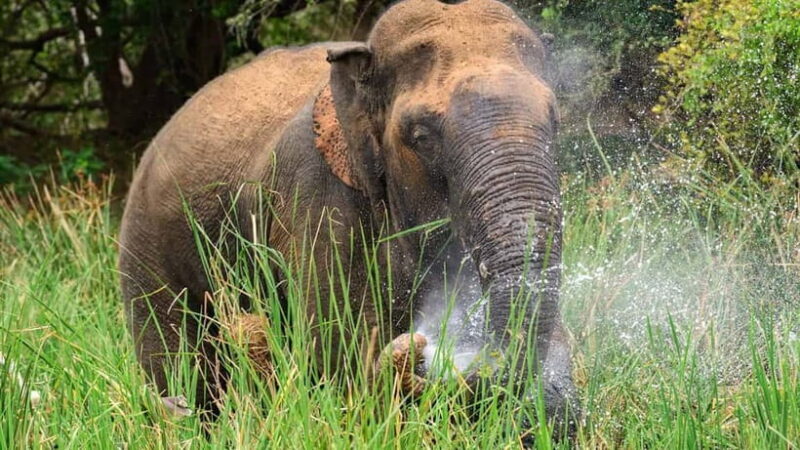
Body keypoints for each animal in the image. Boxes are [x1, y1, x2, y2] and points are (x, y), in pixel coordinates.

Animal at [119, 0, 579, 437]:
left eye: (556, 121)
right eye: (421, 136)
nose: (419, 348)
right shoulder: (317, 200)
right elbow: (338, 355)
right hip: (148, 247)